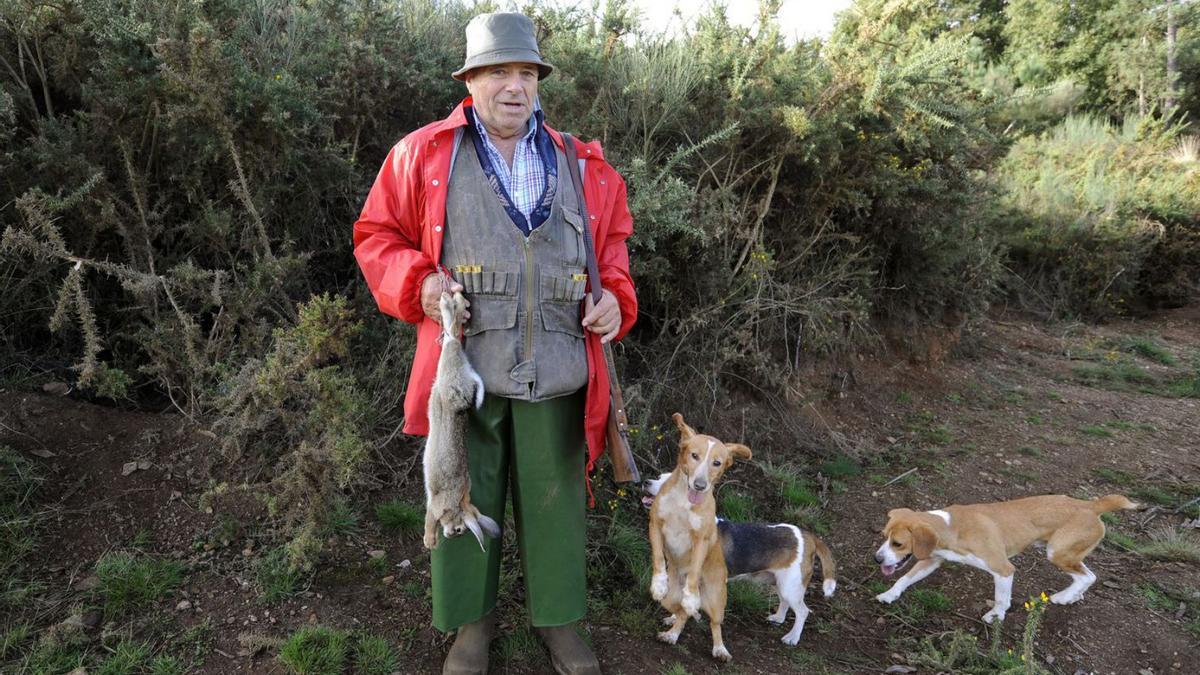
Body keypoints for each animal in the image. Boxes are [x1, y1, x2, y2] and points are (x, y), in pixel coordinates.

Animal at [648, 413, 835, 658]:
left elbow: (688, 606)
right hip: (781, 582)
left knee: (803, 611)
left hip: (791, 585)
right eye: (660, 477)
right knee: (786, 603)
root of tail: (807, 535)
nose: (646, 482)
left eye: (716, 463)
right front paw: (673, 614)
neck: (682, 505)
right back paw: (778, 617)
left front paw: (677, 628)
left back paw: (792, 637)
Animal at [873, 492, 1132, 624]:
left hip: (1056, 552)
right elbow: (904, 579)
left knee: (1088, 576)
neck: (952, 527)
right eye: (884, 536)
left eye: (898, 544)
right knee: (1086, 576)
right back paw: (1072, 596)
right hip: (1065, 553)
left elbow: (1000, 598)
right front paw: (889, 595)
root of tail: (1091, 505)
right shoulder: (931, 560)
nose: (877, 559)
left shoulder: (1003, 570)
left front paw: (996, 616)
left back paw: (1063, 596)